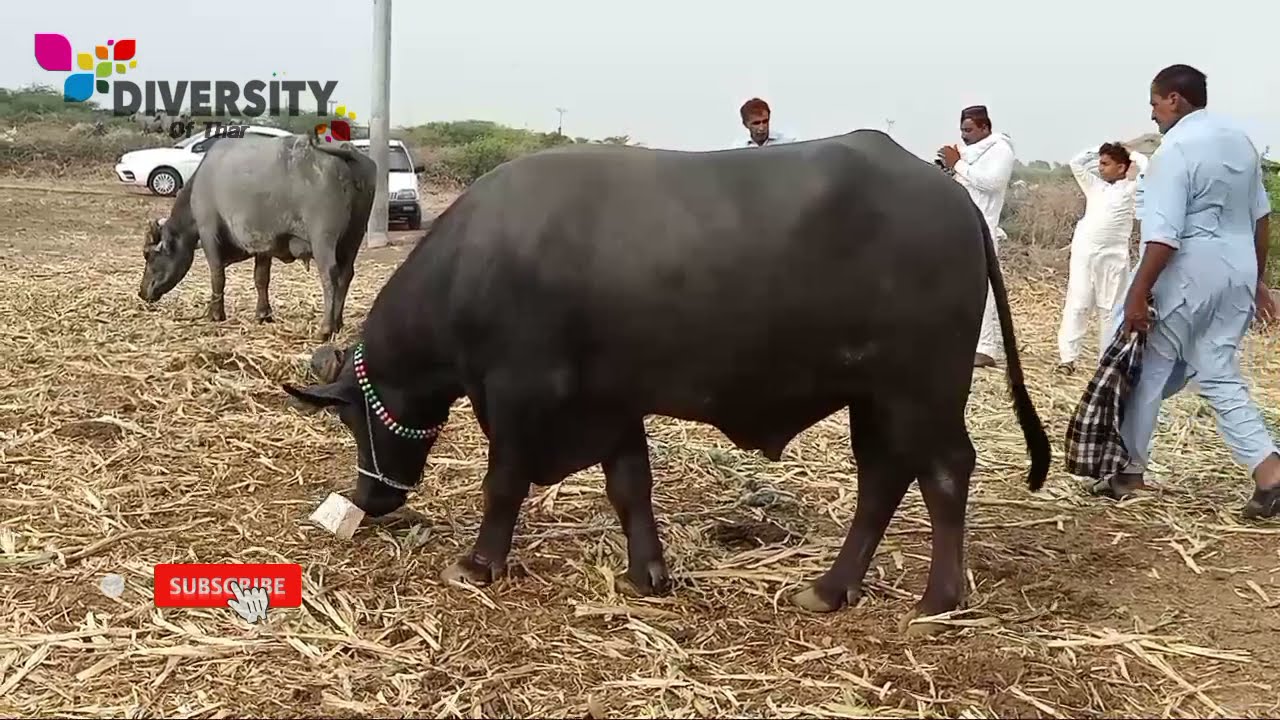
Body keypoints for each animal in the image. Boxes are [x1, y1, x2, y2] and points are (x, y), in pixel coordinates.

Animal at [138, 132, 377, 341]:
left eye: (149, 256)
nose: (141, 292)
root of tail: (344, 150)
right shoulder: (264, 245)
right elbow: (261, 278)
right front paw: (263, 314)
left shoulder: (208, 233)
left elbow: (217, 275)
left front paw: (215, 314)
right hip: (353, 237)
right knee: (346, 274)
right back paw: (337, 323)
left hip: (323, 239)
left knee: (330, 275)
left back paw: (325, 328)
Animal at [281, 129, 1052, 634]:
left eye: (351, 418)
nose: (370, 497)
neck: (478, 262)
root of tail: (952, 197)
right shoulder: (610, 403)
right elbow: (630, 487)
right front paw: (647, 573)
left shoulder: (518, 396)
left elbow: (503, 483)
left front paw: (477, 564)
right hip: (875, 399)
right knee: (882, 479)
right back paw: (831, 589)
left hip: (922, 392)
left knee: (946, 472)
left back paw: (938, 600)